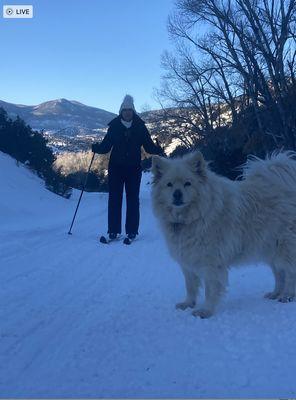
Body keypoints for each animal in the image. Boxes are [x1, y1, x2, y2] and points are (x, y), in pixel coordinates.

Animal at [151, 151, 296, 318]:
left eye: (188, 183)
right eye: (169, 184)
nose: (177, 194)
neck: (192, 217)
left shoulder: (211, 262)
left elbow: (210, 290)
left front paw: (205, 311)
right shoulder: (187, 260)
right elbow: (190, 286)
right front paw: (188, 303)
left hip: (284, 248)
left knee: (289, 273)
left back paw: (287, 296)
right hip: (269, 248)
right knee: (279, 273)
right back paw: (275, 293)